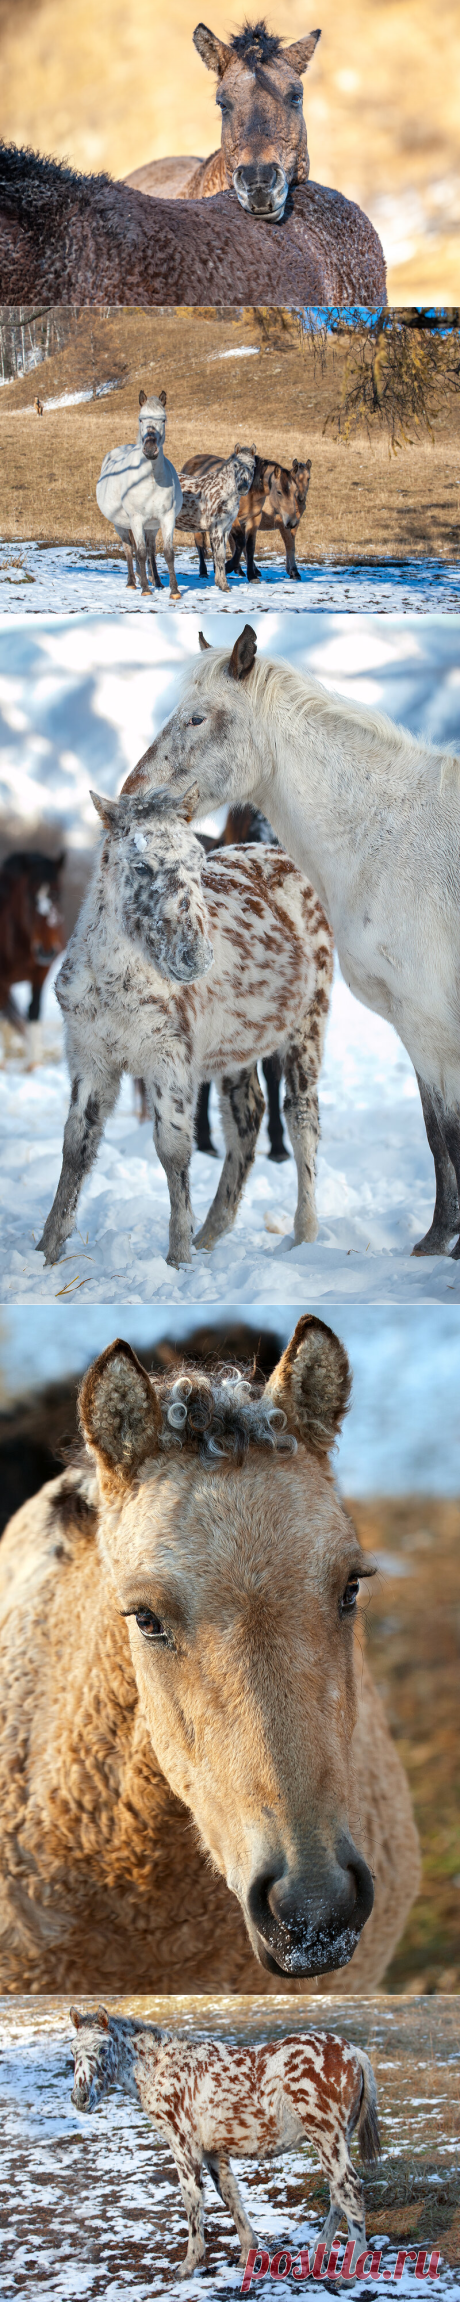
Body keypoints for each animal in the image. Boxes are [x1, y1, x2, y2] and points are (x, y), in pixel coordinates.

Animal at [123, 623, 460, 1260]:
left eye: (197, 718)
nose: (134, 793)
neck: (390, 836)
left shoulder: (427, 1020)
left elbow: (447, 1132)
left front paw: (442, 1242)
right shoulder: (418, 1026)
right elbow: (437, 1131)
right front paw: (440, 1239)